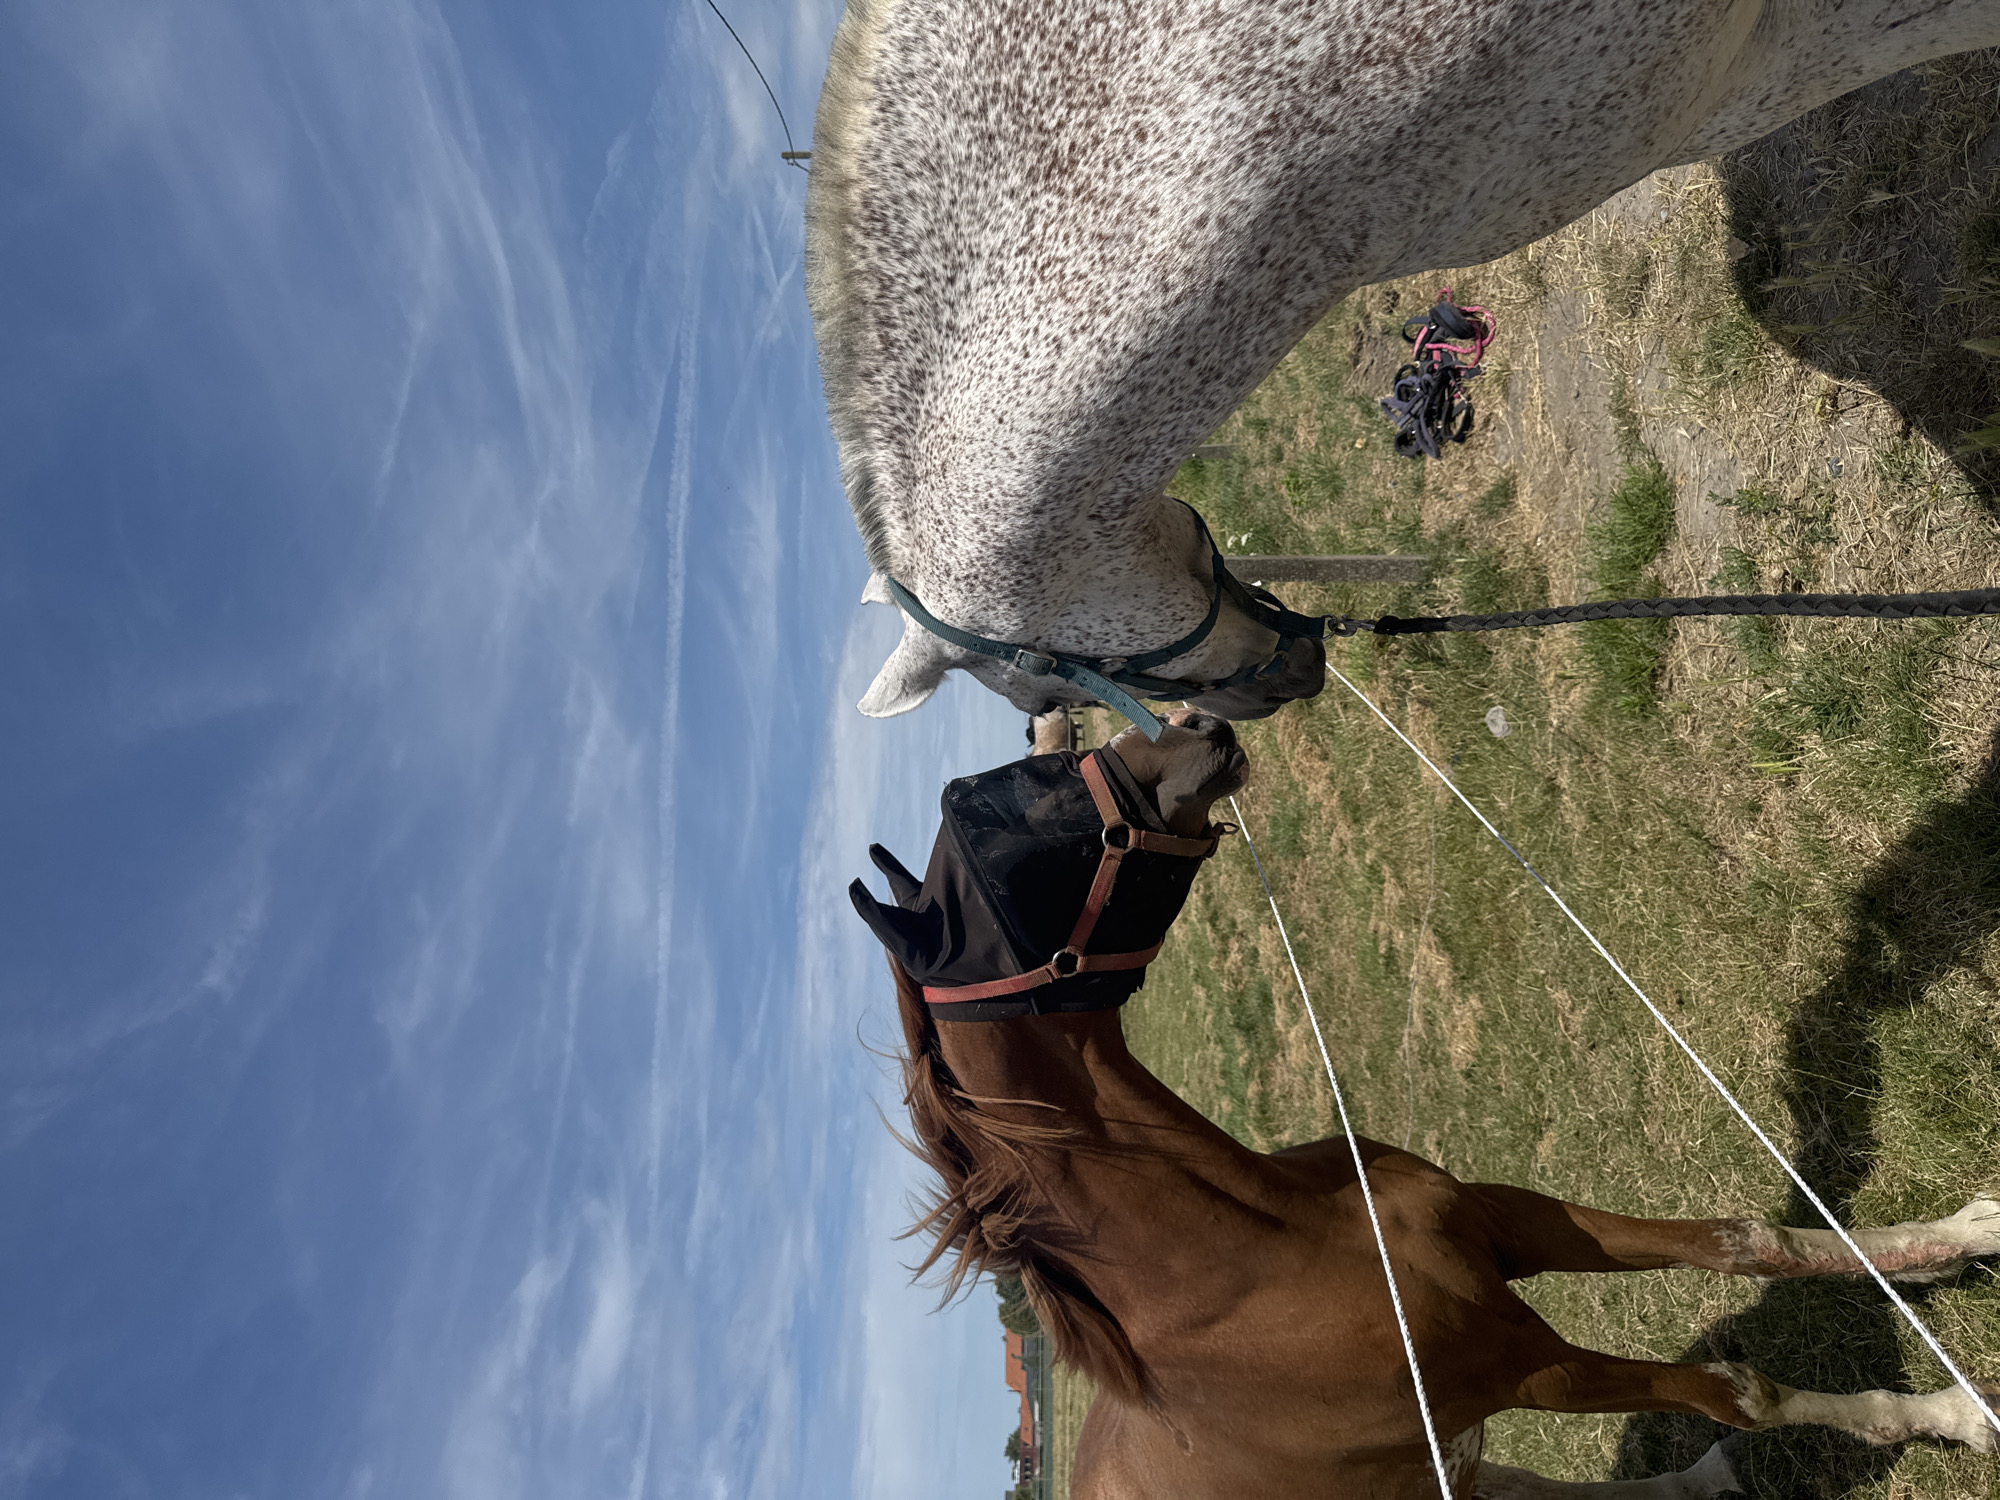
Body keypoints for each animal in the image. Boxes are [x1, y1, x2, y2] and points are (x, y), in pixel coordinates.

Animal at [859, 713, 2000, 1497]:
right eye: (1012, 833)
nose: (1199, 728)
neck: (1267, 1254)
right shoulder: (1524, 1368)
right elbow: (1739, 1392)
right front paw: (1954, 1411)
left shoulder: (1507, 1227)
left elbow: (1741, 1240)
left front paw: (1953, 1239)